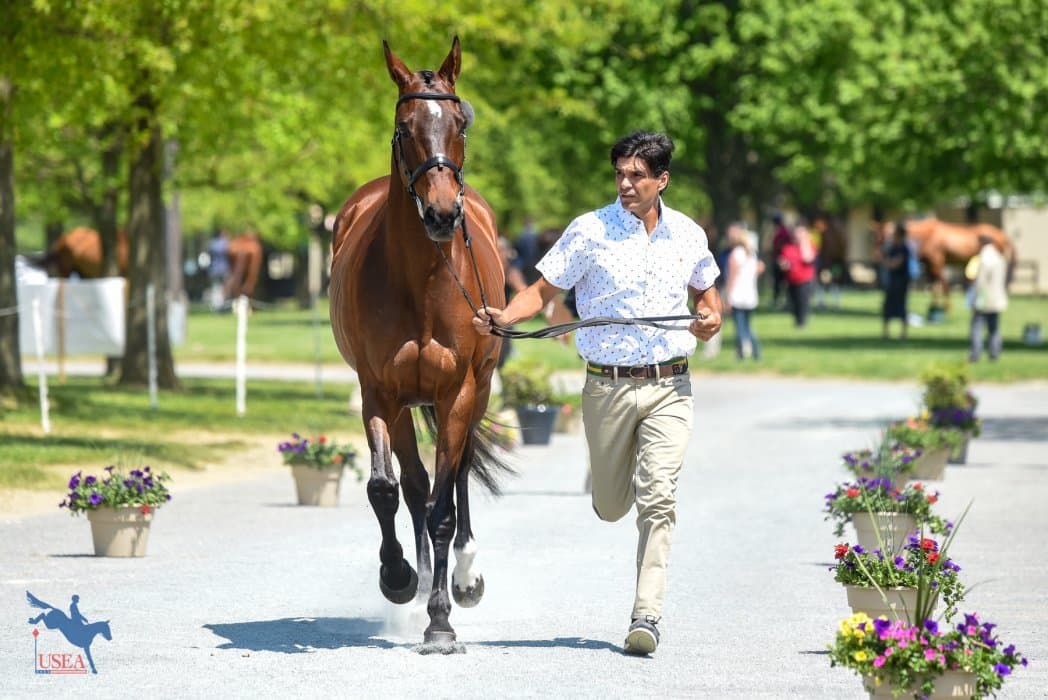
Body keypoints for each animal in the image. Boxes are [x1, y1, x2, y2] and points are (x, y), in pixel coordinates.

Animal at [328, 37, 509, 652]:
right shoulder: (379, 393)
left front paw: (441, 619)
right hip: (408, 403)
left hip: (476, 391)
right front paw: (400, 577)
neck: (423, 283)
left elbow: (443, 509)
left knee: (457, 480)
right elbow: (387, 489)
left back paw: (466, 577)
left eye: (460, 123)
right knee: (415, 486)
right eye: (403, 127)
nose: (442, 213)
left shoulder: (457, 393)